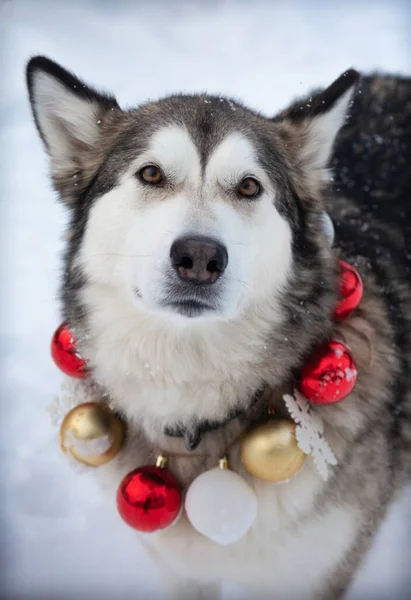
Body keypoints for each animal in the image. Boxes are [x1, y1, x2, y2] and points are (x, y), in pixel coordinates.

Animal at [27, 55, 410, 596]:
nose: (199, 258)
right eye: (150, 173)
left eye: (249, 186)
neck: (195, 405)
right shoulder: (182, 570)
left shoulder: (318, 572)